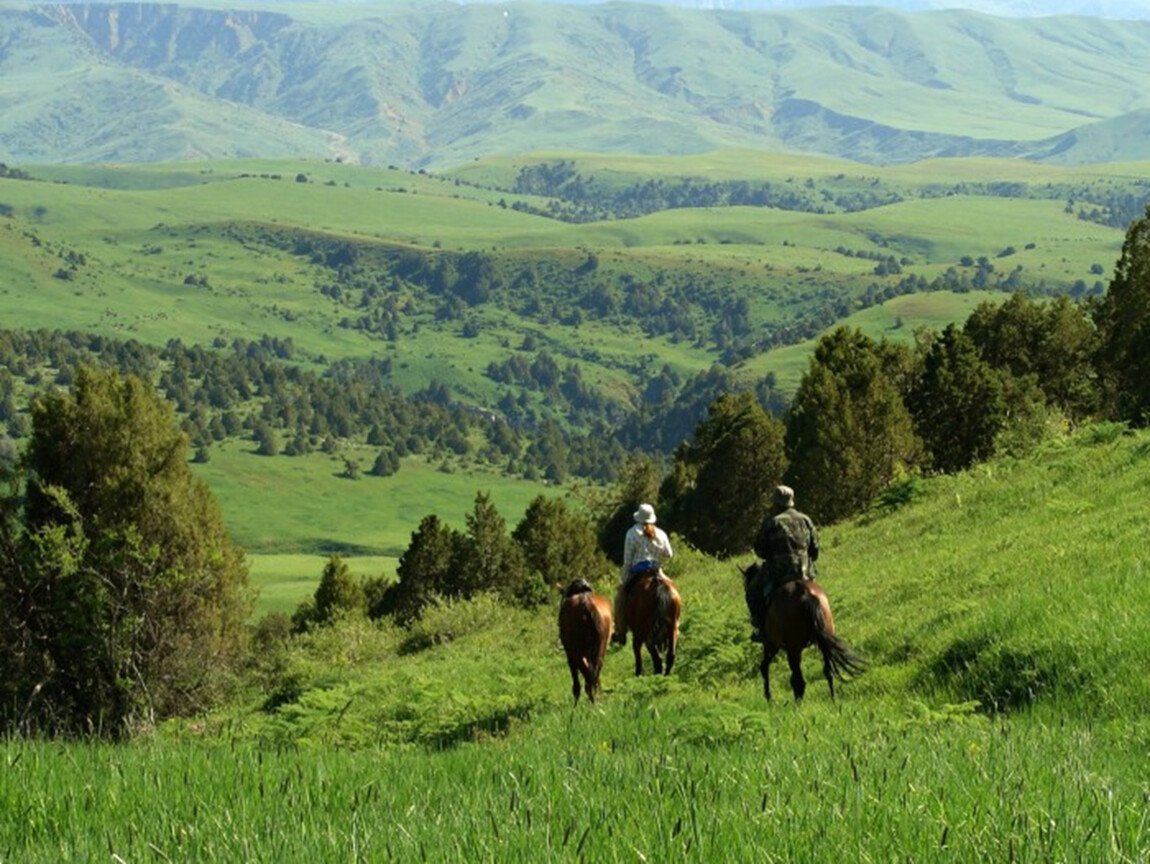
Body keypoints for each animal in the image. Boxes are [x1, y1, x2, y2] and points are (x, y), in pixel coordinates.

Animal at [740, 561, 860, 704]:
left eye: (749, 596)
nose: (753, 621)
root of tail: (806, 594)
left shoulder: (771, 644)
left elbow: (764, 667)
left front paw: (769, 697)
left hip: (793, 649)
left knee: (798, 680)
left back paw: (797, 705)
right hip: (823, 642)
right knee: (828, 670)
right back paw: (833, 699)